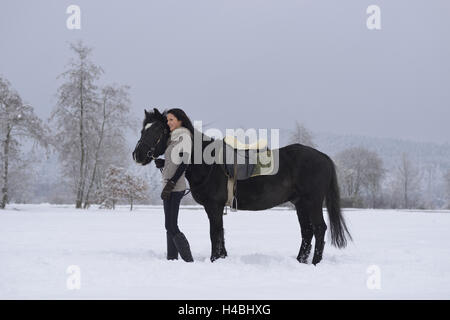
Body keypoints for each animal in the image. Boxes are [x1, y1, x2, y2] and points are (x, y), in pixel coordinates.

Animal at [132, 108, 350, 264]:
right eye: (143, 129)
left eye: (157, 130)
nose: (137, 155)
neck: (207, 163)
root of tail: (323, 157)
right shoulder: (215, 208)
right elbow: (220, 233)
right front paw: (221, 258)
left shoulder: (214, 206)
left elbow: (215, 233)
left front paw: (214, 259)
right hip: (301, 204)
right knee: (307, 231)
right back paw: (300, 261)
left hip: (312, 202)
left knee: (319, 229)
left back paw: (315, 263)